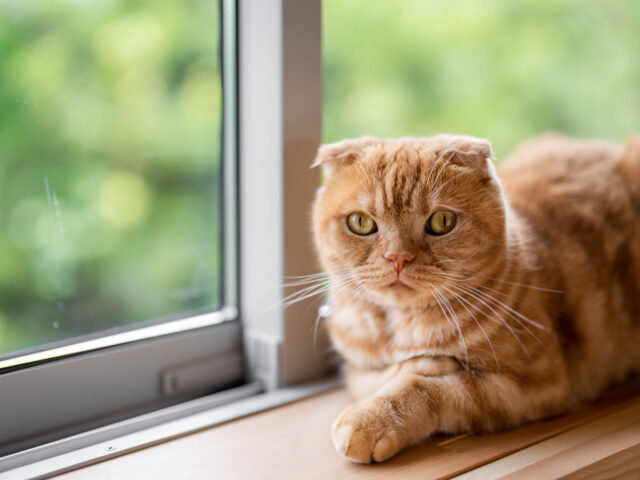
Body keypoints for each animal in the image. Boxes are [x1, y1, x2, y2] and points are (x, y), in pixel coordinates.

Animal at [310, 133, 640, 464]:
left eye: (442, 221)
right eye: (360, 223)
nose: (398, 258)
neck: (399, 328)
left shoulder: (533, 384)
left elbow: (426, 388)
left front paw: (373, 416)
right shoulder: (353, 362)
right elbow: (367, 376)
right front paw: (416, 365)